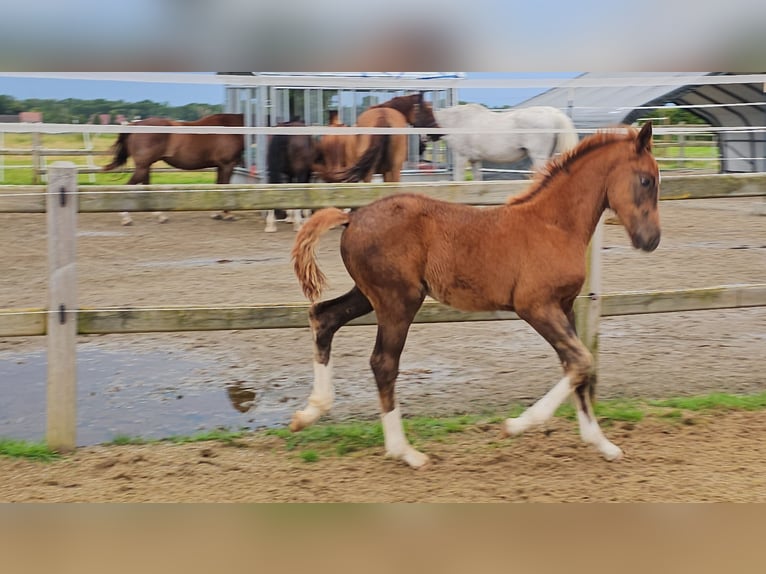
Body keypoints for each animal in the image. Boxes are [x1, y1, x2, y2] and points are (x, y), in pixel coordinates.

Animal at [103, 113, 244, 225]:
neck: (229, 126)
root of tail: (136, 124)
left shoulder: (220, 166)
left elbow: (219, 186)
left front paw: (217, 213)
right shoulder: (227, 165)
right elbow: (225, 187)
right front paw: (228, 214)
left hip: (145, 167)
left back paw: (159, 216)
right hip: (142, 167)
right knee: (129, 187)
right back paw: (126, 217)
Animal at [292, 121, 664, 468]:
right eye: (647, 180)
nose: (651, 240)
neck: (554, 225)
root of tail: (351, 218)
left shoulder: (565, 306)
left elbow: (576, 367)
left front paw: (602, 444)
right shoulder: (536, 306)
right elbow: (582, 361)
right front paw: (516, 425)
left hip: (369, 295)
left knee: (324, 317)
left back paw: (310, 412)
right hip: (398, 300)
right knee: (383, 362)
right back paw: (405, 452)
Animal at [436, 103, 580, 180]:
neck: (459, 120)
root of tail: (553, 113)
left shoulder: (461, 157)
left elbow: (458, 179)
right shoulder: (475, 160)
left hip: (539, 157)